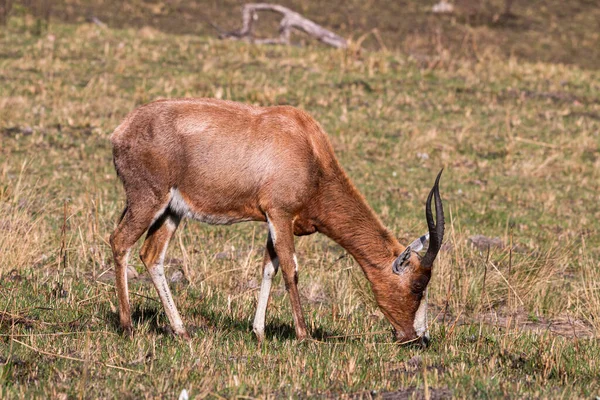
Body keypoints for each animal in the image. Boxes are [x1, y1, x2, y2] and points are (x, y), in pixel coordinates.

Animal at [110, 97, 442, 344]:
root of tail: (121, 131)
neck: (307, 146)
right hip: (148, 200)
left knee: (151, 255)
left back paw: (181, 331)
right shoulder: (280, 215)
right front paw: (304, 336)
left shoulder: (274, 220)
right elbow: (290, 269)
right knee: (119, 242)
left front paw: (258, 332)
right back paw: (127, 327)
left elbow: (269, 267)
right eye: (417, 286)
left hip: (171, 212)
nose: (419, 339)